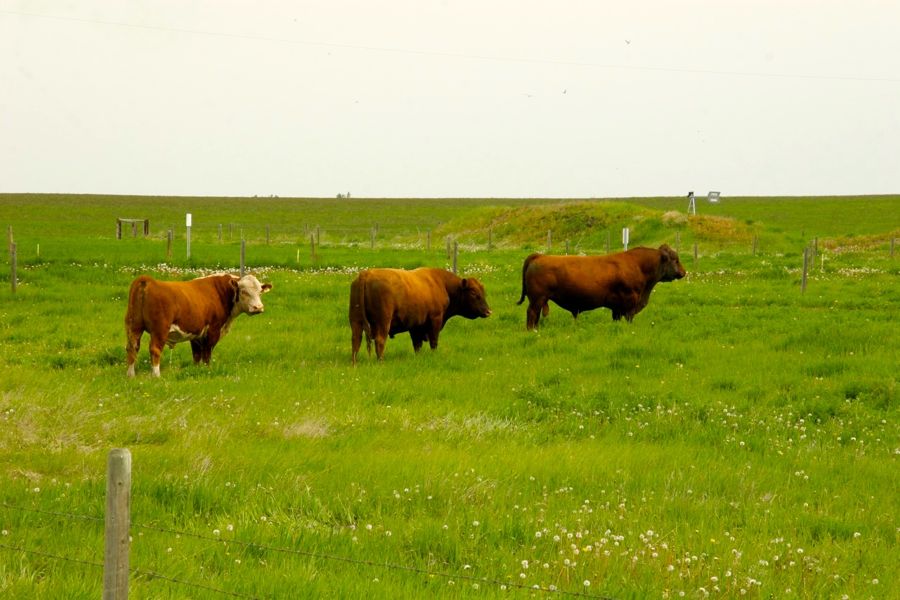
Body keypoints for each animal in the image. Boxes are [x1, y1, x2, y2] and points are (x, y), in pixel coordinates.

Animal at [125, 273, 272, 377]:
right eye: (244, 291)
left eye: (260, 292)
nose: (258, 307)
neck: (221, 292)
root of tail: (147, 280)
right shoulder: (213, 330)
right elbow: (207, 354)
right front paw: (207, 370)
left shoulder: (196, 333)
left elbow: (196, 355)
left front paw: (196, 370)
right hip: (160, 330)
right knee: (155, 350)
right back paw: (156, 375)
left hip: (133, 326)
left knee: (132, 348)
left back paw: (131, 375)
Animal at [349, 268, 491, 363]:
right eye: (473, 292)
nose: (488, 311)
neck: (443, 285)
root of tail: (366, 274)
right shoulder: (435, 320)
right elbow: (433, 341)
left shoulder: (415, 326)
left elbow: (417, 344)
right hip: (383, 322)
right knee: (380, 340)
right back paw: (381, 361)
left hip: (355, 321)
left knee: (356, 340)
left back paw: (354, 362)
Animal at [517, 244, 685, 330]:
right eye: (675, 259)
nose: (683, 272)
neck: (638, 265)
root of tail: (539, 256)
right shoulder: (630, 303)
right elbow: (629, 318)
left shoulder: (617, 308)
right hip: (537, 299)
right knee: (531, 313)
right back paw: (532, 330)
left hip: (539, 300)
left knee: (536, 314)